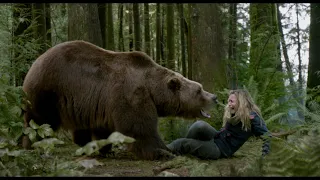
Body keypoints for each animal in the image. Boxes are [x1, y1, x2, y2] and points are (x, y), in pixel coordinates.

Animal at [21, 40, 218, 160]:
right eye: (199, 89)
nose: (214, 97)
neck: (152, 89)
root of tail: (36, 61)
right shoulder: (131, 95)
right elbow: (140, 128)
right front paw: (164, 151)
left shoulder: (104, 103)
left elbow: (103, 128)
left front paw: (105, 149)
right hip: (48, 90)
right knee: (38, 121)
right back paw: (32, 145)